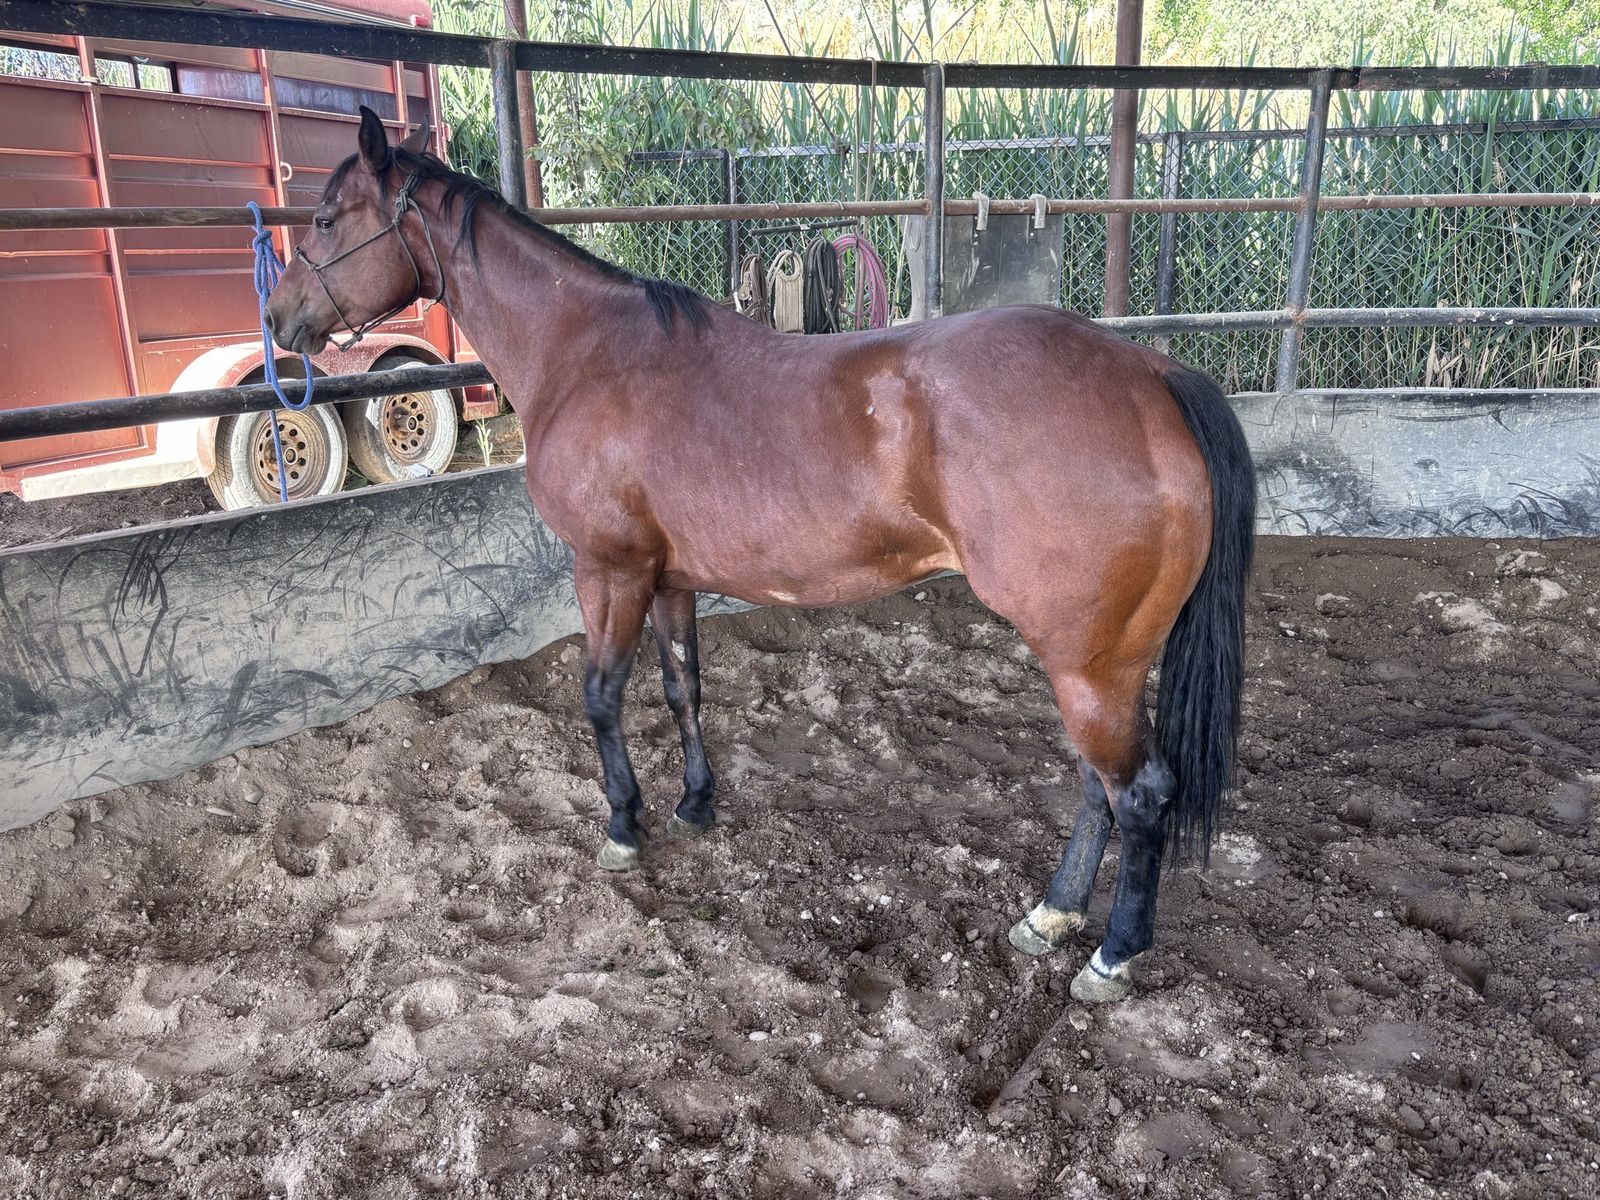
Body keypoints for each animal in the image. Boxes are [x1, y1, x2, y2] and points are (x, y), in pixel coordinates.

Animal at [265, 108, 1256, 1004]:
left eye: (328, 217)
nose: (279, 319)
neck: (588, 354)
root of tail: (1151, 377)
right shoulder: (667, 578)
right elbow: (682, 686)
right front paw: (695, 804)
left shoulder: (609, 570)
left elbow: (601, 694)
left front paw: (623, 823)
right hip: (1094, 662)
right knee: (1097, 787)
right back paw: (1052, 915)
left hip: (1088, 660)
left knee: (1140, 792)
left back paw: (1113, 955)